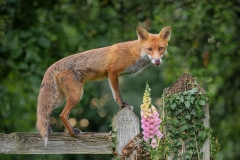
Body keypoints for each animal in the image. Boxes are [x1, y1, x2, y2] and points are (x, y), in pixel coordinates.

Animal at [36, 25, 171, 146]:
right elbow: (117, 93)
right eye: (149, 49)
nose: (157, 61)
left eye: (161, 48)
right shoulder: (112, 71)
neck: (136, 53)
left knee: (44, 114)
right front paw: (122, 104)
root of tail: (54, 65)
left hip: (60, 98)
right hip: (76, 95)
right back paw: (73, 133)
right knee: (62, 115)